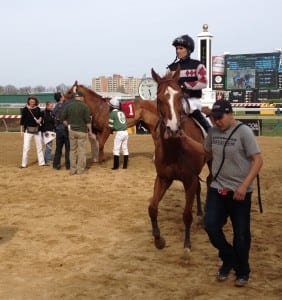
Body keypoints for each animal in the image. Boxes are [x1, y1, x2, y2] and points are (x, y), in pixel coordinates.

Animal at [148, 68, 207, 253]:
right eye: (159, 98)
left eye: (180, 95)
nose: (173, 129)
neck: (174, 150)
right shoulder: (163, 178)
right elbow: (152, 208)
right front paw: (158, 239)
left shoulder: (189, 180)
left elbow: (186, 215)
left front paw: (187, 243)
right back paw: (200, 213)